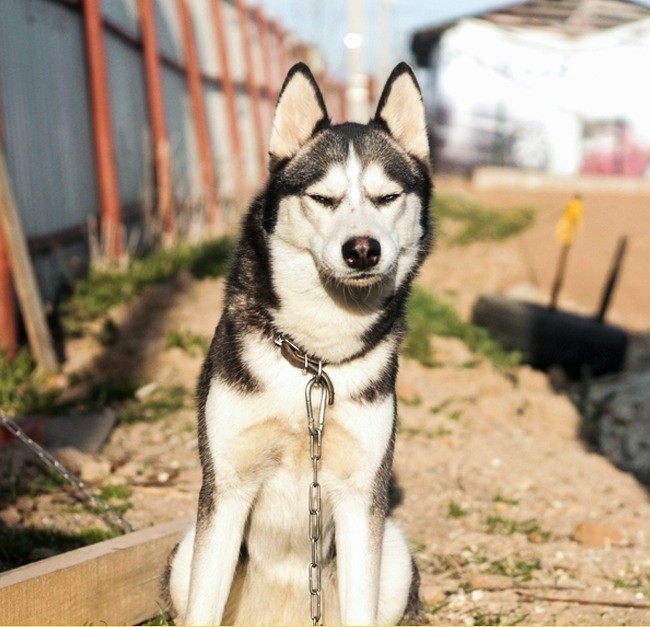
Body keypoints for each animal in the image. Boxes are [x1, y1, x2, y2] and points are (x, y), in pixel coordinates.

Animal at [165, 61, 432, 624]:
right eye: (323, 199)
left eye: (387, 198)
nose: (362, 249)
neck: (314, 361)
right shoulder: (226, 487)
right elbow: (202, 607)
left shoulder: (362, 497)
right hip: (184, 553)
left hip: (395, 555)